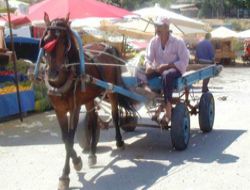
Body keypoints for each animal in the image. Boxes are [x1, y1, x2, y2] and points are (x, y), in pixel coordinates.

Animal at [40, 12, 135, 189]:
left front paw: (67, 174)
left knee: (115, 115)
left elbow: (70, 140)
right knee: (93, 120)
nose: (52, 74)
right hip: (90, 97)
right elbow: (65, 139)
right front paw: (76, 161)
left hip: (112, 90)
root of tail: (107, 45)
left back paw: (119, 141)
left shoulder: (75, 108)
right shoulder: (59, 110)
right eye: (46, 40)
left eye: (64, 42)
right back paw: (92, 153)